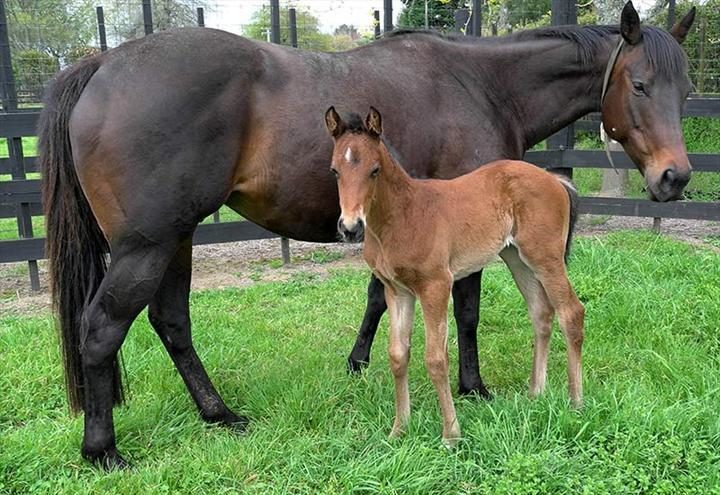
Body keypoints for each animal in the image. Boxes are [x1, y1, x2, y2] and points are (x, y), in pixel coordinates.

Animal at [326, 107, 584, 446]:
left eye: (375, 170)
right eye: (335, 171)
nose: (350, 227)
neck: (404, 215)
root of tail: (553, 178)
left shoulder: (435, 285)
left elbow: (436, 358)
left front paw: (451, 434)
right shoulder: (398, 290)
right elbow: (398, 355)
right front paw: (399, 430)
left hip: (546, 257)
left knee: (571, 312)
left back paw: (576, 402)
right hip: (517, 258)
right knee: (542, 313)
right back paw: (535, 394)